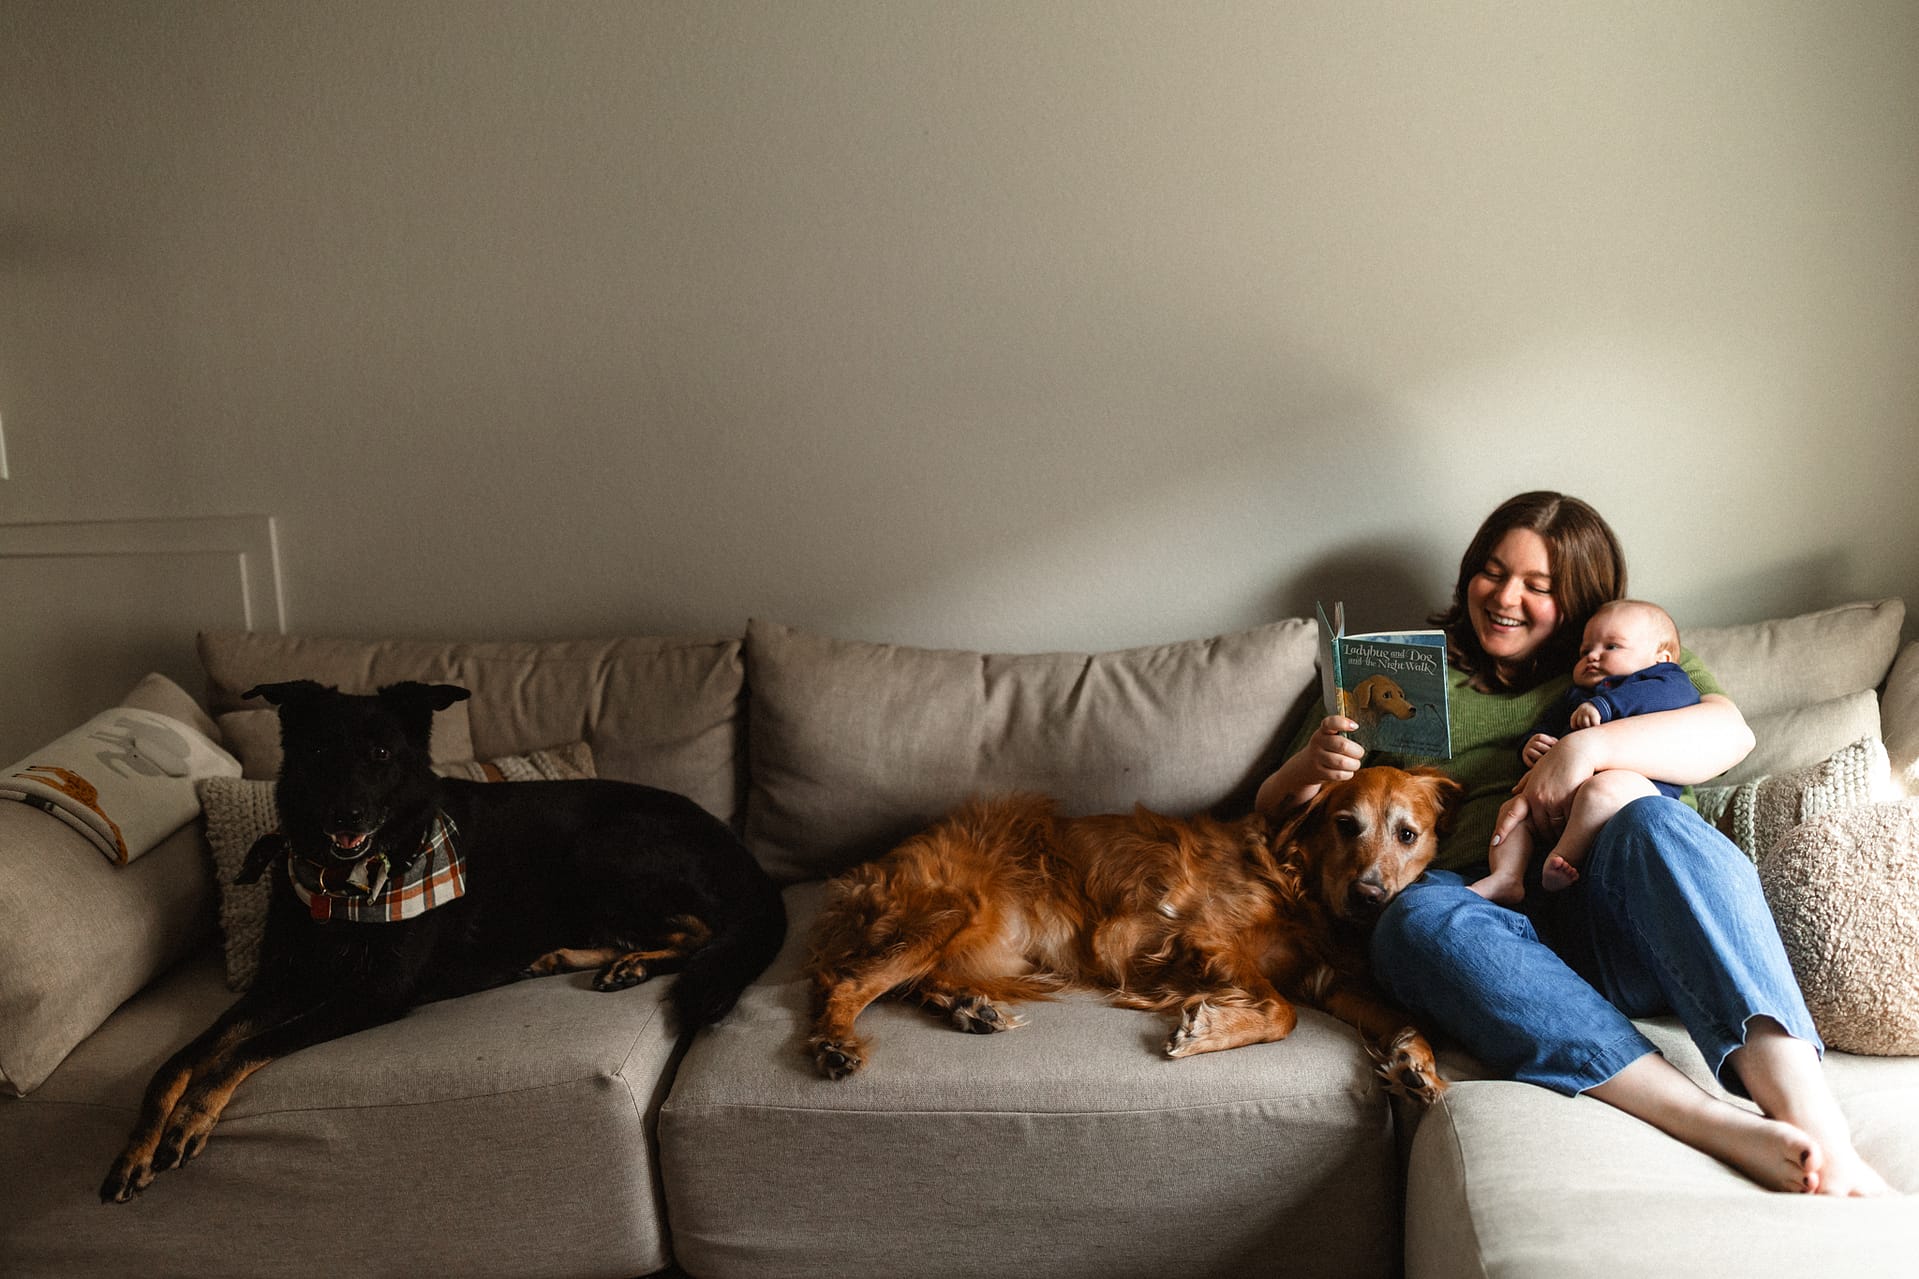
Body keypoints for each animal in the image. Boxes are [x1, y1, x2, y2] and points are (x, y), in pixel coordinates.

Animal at [101, 680, 786, 1203]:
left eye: (381, 752)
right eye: (318, 749)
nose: (345, 817)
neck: (341, 885)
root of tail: (737, 848)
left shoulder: (376, 993)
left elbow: (243, 1050)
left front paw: (190, 1119)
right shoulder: (282, 983)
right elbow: (180, 1060)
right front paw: (137, 1146)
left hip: (603, 850)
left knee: (702, 929)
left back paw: (631, 965)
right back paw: (574, 957)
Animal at [806, 765, 1458, 1099]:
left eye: (1407, 834)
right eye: (1346, 824)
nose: (1369, 897)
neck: (1301, 881)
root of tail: (876, 865)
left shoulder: (1330, 981)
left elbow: (1405, 1017)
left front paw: (1417, 1063)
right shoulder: (1206, 935)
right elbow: (1281, 1012)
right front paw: (1207, 1029)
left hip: (991, 945)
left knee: (910, 978)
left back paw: (969, 1007)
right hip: (954, 908)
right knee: (846, 981)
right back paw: (835, 1044)